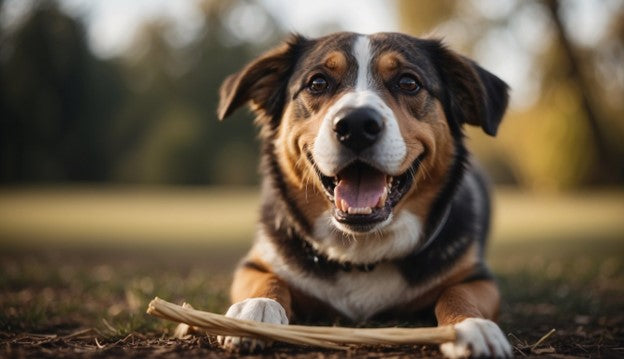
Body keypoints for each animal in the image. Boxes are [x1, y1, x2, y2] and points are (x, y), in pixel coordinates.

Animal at [201, 32, 512, 358]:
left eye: (408, 82)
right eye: (318, 82)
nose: (357, 125)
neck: (361, 249)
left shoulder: (476, 277)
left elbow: (458, 293)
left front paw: (472, 326)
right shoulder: (256, 262)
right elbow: (268, 279)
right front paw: (255, 310)